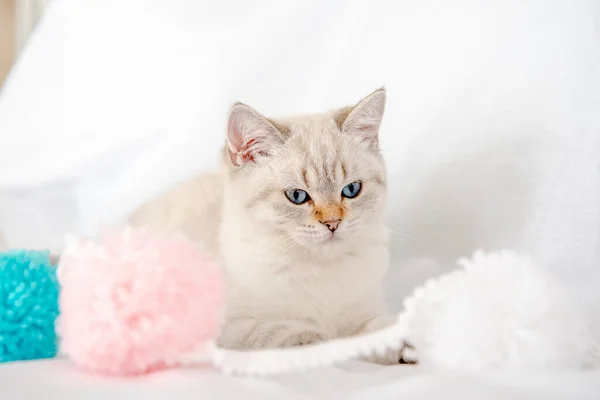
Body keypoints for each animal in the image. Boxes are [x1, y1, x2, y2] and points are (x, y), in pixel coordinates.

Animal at [134, 89, 400, 364]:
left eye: (351, 190)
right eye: (297, 196)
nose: (332, 223)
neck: (320, 269)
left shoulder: (364, 311)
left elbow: (381, 328)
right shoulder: (233, 330)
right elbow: (293, 334)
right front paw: (329, 346)